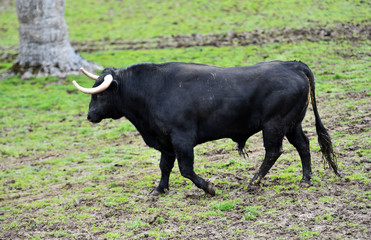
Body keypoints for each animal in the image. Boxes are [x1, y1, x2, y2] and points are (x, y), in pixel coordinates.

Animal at [72, 61, 340, 196]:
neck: (152, 90)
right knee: (303, 145)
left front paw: (209, 188)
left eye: (100, 93)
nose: (90, 115)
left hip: (274, 124)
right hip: (292, 124)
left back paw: (254, 182)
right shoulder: (165, 142)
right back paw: (305, 180)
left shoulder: (182, 139)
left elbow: (186, 169)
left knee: (273, 152)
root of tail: (291, 65)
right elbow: (165, 166)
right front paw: (159, 189)